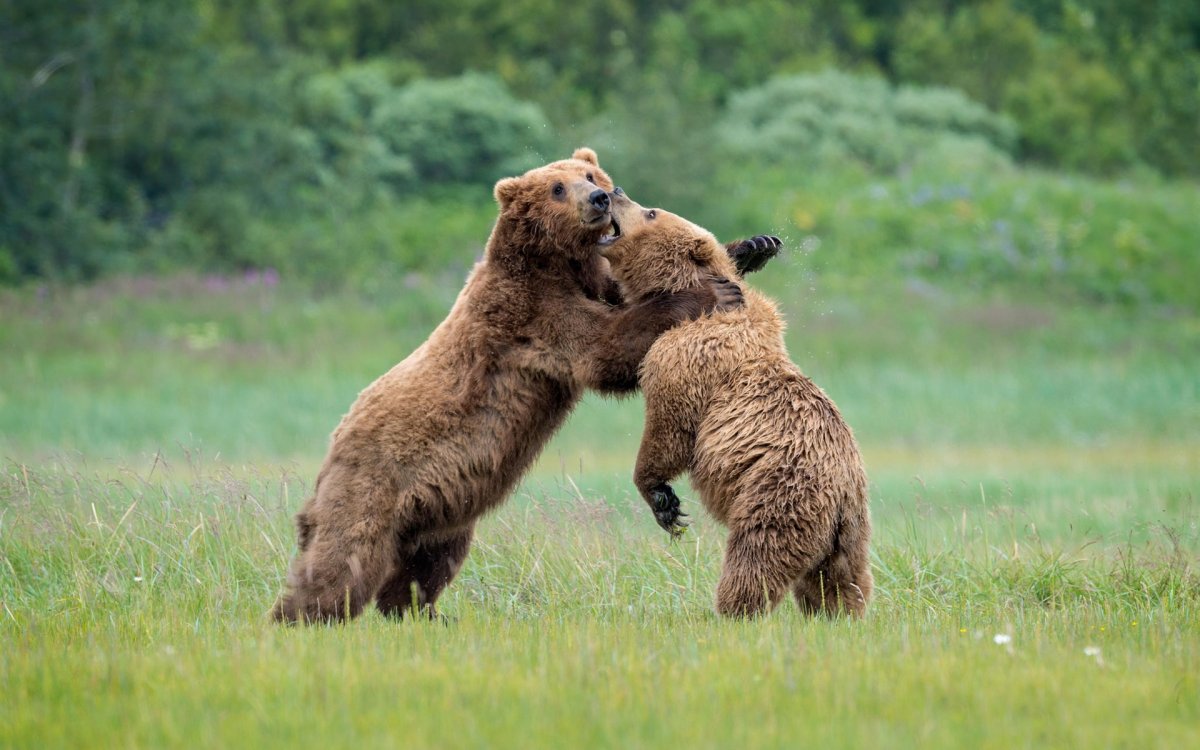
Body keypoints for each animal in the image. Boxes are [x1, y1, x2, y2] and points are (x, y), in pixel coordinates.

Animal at [272, 149, 768, 624]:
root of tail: (334, 445)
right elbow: (606, 347)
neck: (557, 261)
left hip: (437, 510)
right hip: (373, 483)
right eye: (557, 187)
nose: (599, 199)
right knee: (345, 559)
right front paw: (711, 293)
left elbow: (624, 296)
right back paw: (298, 617)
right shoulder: (532, 313)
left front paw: (753, 247)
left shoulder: (588, 283)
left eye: (590, 175)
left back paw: (425, 612)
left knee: (427, 561)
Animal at [600, 189, 873, 619]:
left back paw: (732, 612)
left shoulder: (685, 356)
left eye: (651, 212)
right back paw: (838, 617)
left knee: (756, 558)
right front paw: (754, 247)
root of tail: (843, 493)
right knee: (841, 581)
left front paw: (663, 500)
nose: (614, 192)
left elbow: (670, 427)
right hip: (849, 533)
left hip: (777, 496)